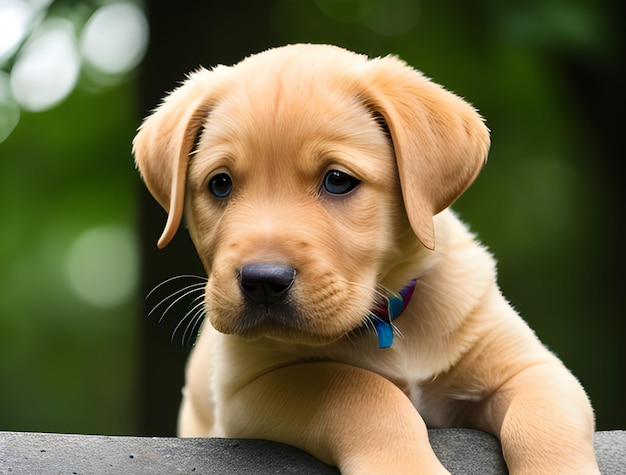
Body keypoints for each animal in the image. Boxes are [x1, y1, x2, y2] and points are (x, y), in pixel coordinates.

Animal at [133, 42, 600, 474]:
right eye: (220, 184)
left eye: (338, 180)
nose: (263, 281)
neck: (386, 323)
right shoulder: (249, 386)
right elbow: (361, 389)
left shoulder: (530, 367)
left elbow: (544, 424)